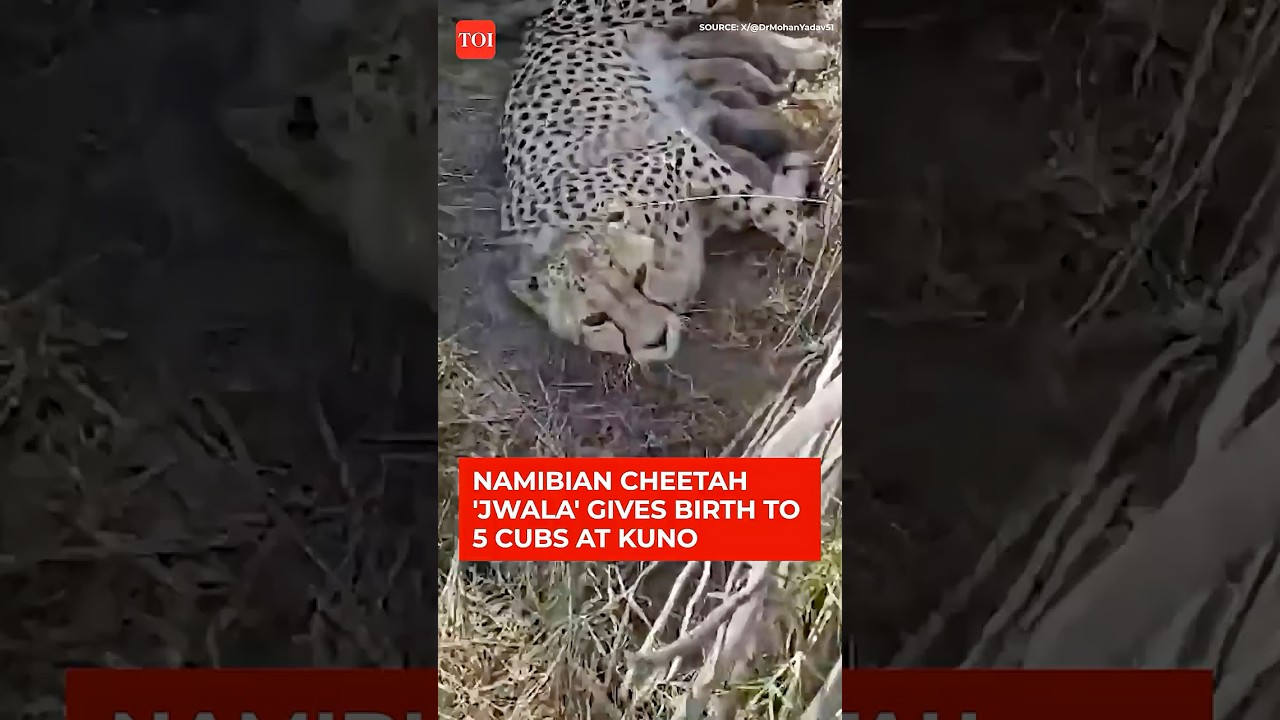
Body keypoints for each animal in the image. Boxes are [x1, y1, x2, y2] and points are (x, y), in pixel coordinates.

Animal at [499, 0, 833, 363]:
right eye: (595, 319)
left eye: (639, 275)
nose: (655, 339)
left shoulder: (681, 152)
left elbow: (762, 208)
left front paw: (816, 243)